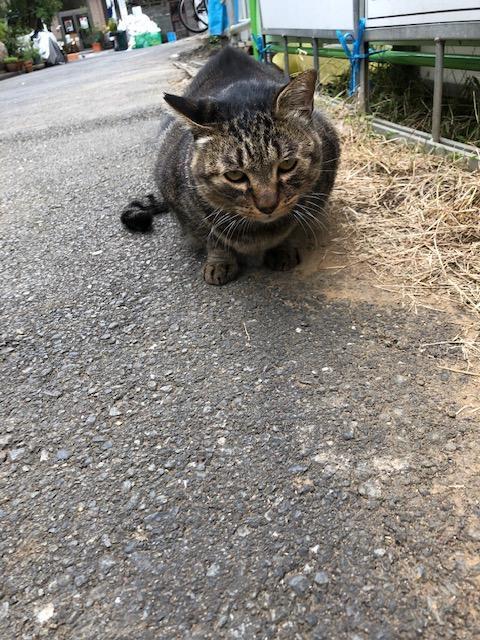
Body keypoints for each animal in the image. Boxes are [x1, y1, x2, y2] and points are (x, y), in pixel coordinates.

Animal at [121, 46, 340, 285]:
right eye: (235, 176)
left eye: (287, 164)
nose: (268, 206)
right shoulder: (186, 209)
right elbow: (212, 238)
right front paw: (220, 261)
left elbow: (291, 228)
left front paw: (282, 249)